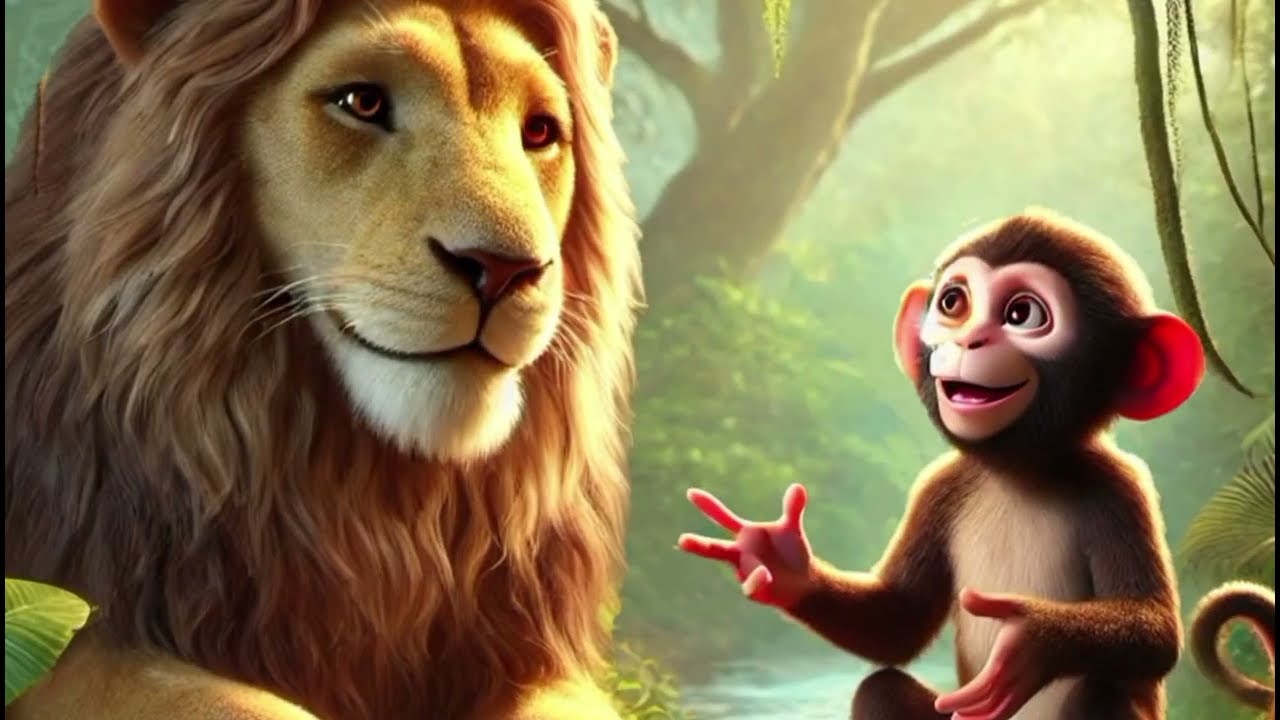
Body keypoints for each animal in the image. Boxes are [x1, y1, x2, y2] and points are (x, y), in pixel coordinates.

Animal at [676, 209, 1209, 720]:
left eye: (1022, 313)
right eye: (954, 303)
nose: (970, 339)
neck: (1018, 472)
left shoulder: (1118, 489)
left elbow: (1156, 631)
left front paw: (1033, 640)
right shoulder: (939, 486)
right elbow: (898, 622)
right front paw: (777, 558)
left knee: (1099, 692)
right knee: (880, 689)